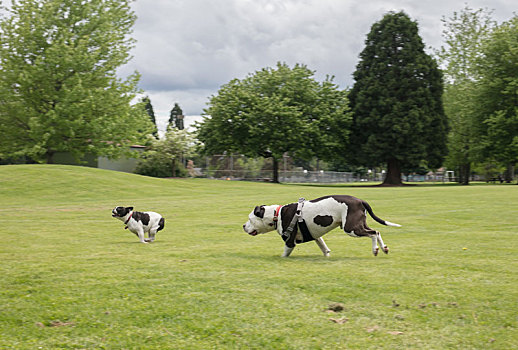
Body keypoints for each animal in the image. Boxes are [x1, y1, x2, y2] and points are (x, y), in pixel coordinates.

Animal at [244, 196, 402, 256]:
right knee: (377, 231)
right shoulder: (316, 236)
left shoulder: (289, 241)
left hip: (351, 228)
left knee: (373, 233)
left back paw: (375, 249)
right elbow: (324, 249)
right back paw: (384, 248)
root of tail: (360, 200)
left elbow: (285, 254)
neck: (276, 214)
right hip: (358, 225)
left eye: (250, 219)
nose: (243, 226)